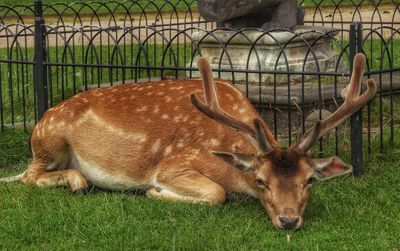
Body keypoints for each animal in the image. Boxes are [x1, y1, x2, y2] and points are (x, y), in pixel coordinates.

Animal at [0, 53, 376, 229]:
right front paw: (154, 193)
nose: (288, 220)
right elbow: (216, 193)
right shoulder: (174, 163)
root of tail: (39, 122)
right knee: (29, 175)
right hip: (50, 141)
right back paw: (78, 182)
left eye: (309, 180)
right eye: (261, 180)